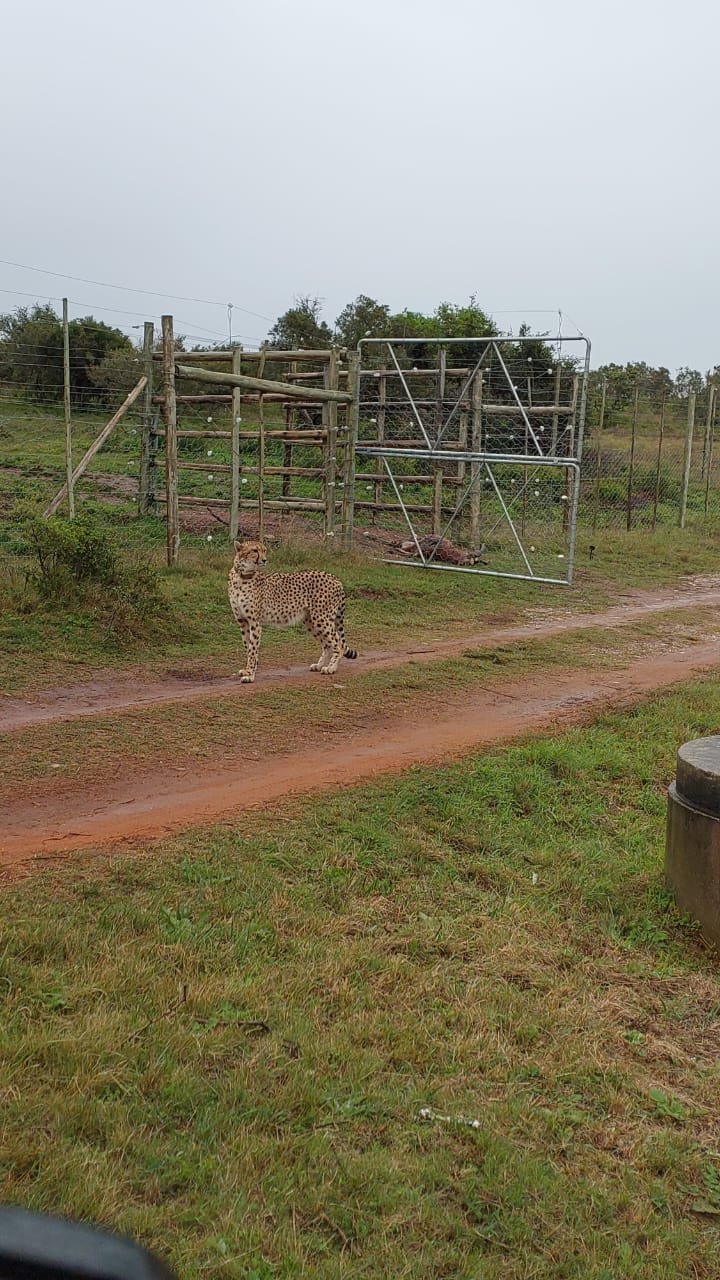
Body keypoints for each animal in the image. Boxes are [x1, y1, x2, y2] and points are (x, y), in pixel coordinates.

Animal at [226, 537, 356, 686]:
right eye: (254, 550)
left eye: (264, 550)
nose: (264, 560)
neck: (242, 575)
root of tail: (335, 578)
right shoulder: (242, 621)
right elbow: (248, 647)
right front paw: (247, 670)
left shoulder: (254, 622)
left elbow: (253, 650)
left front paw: (250, 676)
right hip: (311, 621)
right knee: (327, 644)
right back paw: (319, 665)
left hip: (321, 619)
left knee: (338, 643)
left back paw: (331, 667)